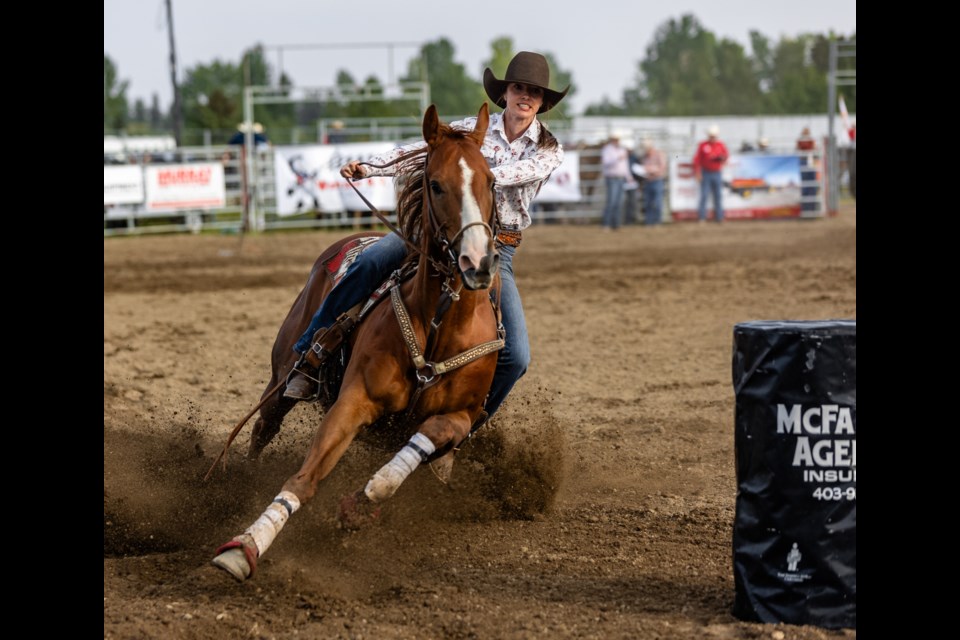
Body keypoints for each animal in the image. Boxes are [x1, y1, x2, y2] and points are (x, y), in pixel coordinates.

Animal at [212, 104, 502, 580]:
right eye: (436, 184)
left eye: (492, 181)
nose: (477, 261)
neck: (438, 326)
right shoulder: (354, 400)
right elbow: (303, 480)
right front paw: (244, 547)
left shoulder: (461, 416)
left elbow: (409, 456)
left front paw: (362, 502)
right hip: (283, 373)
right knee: (264, 426)